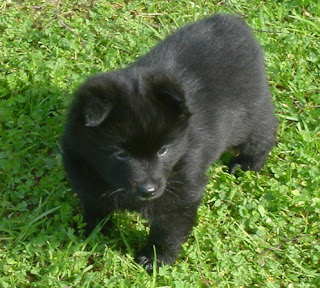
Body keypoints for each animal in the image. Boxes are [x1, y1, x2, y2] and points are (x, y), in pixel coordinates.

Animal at [62, 13, 278, 270]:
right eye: (121, 154)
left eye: (163, 150)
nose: (148, 190)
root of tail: (231, 21)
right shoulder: (84, 169)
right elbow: (94, 205)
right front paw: (89, 231)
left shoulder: (183, 187)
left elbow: (169, 229)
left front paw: (155, 258)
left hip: (251, 110)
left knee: (264, 131)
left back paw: (247, 163)